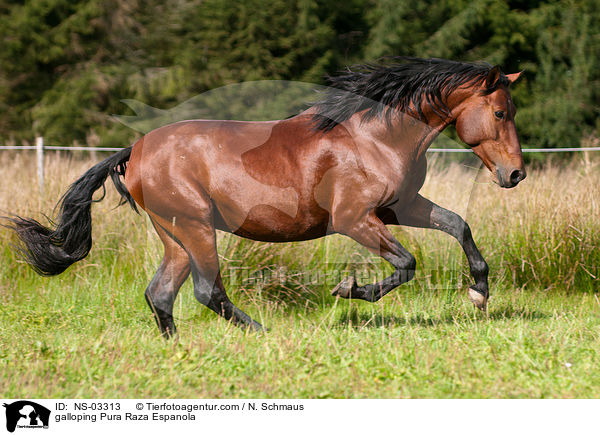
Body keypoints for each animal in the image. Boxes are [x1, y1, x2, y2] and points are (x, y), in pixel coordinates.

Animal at [9, 58, 524, 338]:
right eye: (501, 112)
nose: (515, 173)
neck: (375, 137)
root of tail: (134, 150)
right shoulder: (355, 218)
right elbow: (406, 264)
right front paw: (350, 290)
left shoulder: (400, 208)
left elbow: (457, 225)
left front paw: (479, 291)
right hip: (195, 227)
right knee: (206, 289)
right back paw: (260, 332)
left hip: (174, 233)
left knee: (161, 294)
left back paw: (178, 349)